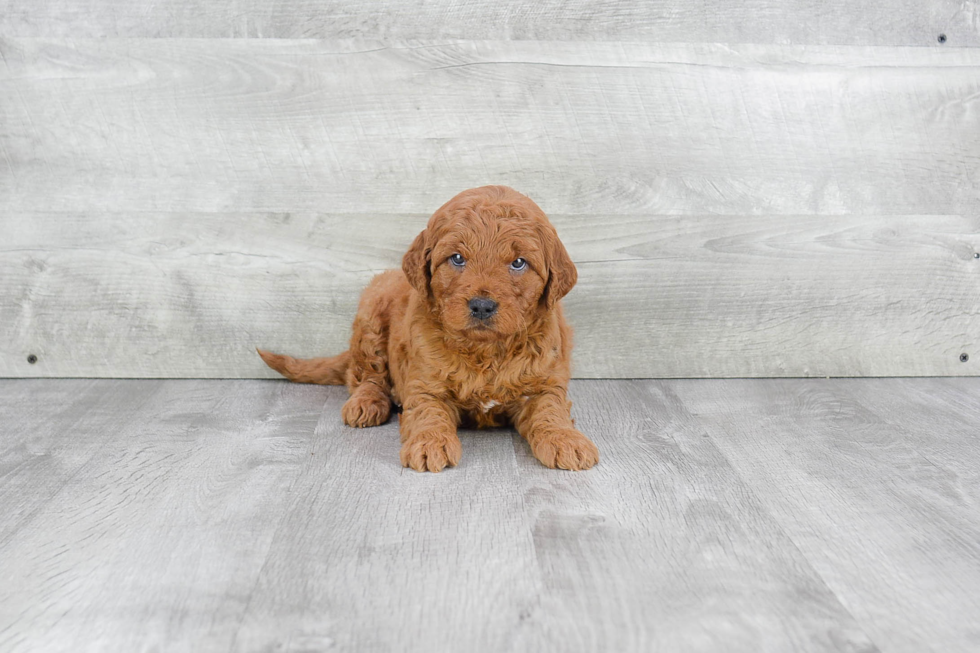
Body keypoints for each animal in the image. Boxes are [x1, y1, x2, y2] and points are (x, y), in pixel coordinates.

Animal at [258, 186, 596, 472]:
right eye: (457, 258)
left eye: (518, 263)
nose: (482, 306)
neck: (485, 350)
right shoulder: (424, 384)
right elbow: (427, 412)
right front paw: (429, 444)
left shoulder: (544, 383)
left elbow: (551, 410)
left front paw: (566, 440)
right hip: (372, 311)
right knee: (365, 375)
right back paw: (366, 403)